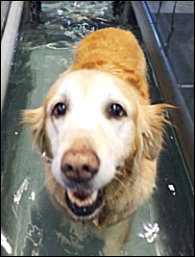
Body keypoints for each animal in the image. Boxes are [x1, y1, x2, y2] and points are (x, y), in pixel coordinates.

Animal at [22, 28, 169, 254]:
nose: (77, 166)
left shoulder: (121, 221)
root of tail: (115, 29)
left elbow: (112, 246)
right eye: (59, 108)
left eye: (117, 110)